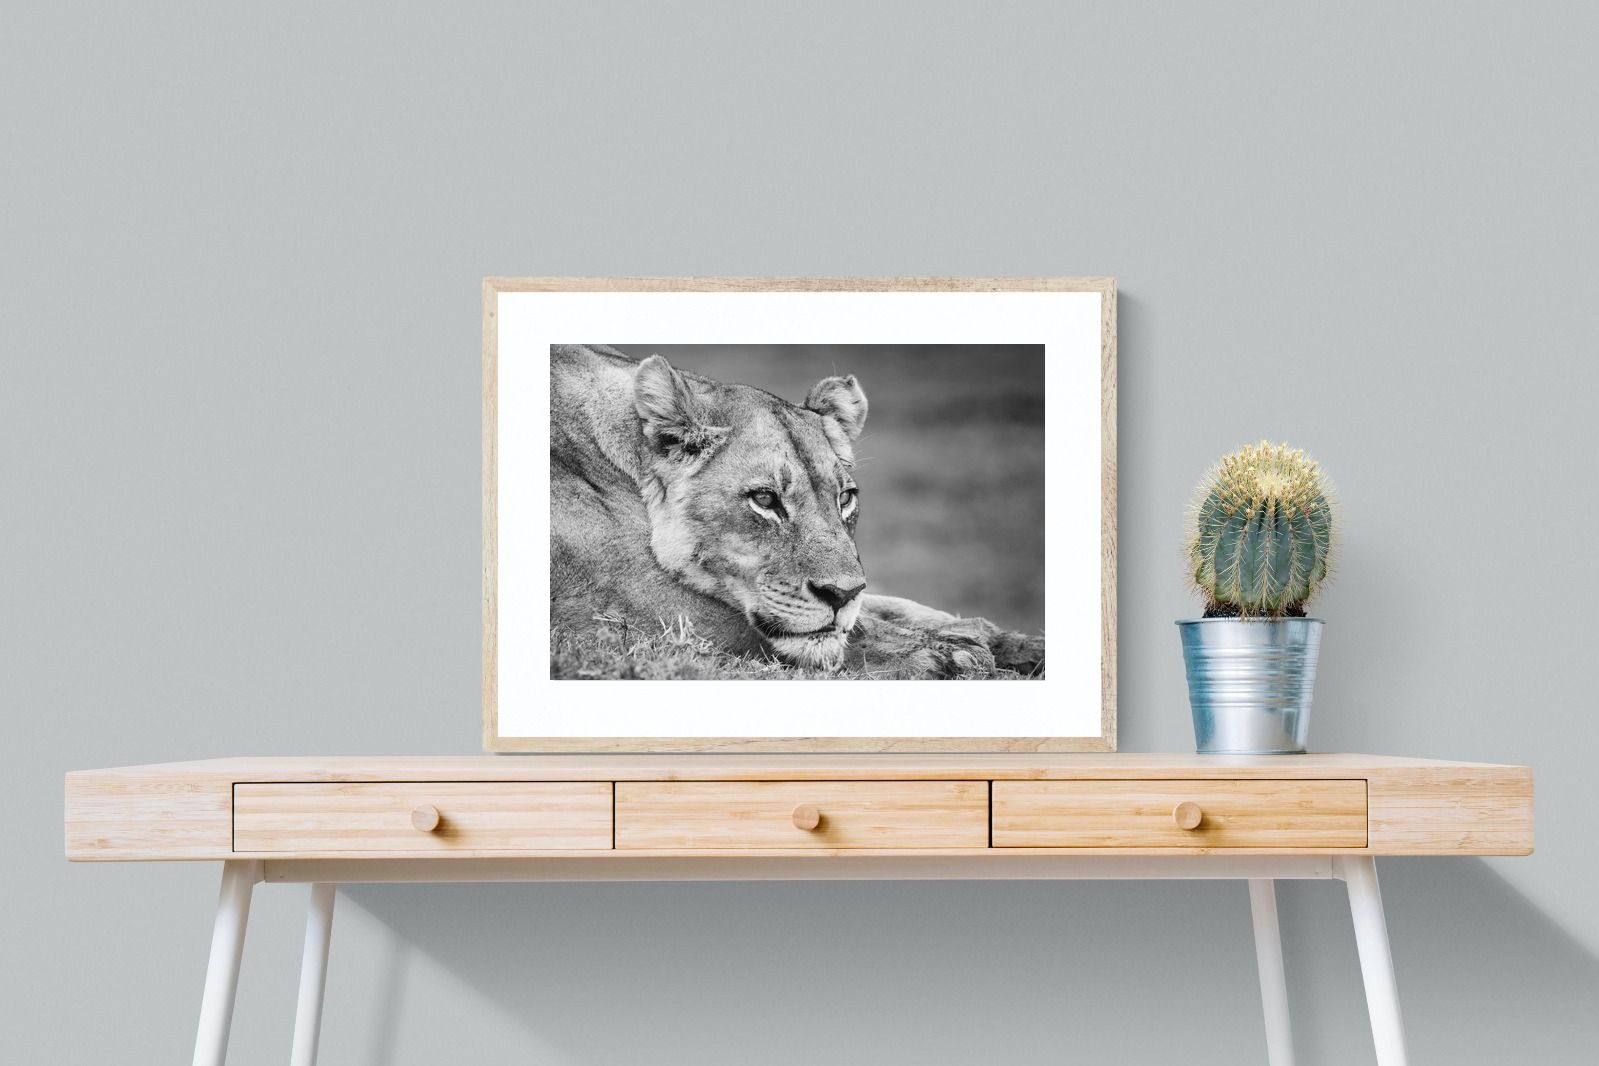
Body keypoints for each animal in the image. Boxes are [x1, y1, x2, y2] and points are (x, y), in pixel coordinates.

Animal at [550, 343, 1044, 679]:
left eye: (845, 498)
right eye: (765, 500)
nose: (840, 595)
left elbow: (892, 607)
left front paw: (1014, 642)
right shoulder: (634, 607)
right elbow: (839, 633)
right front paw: (950, 654)